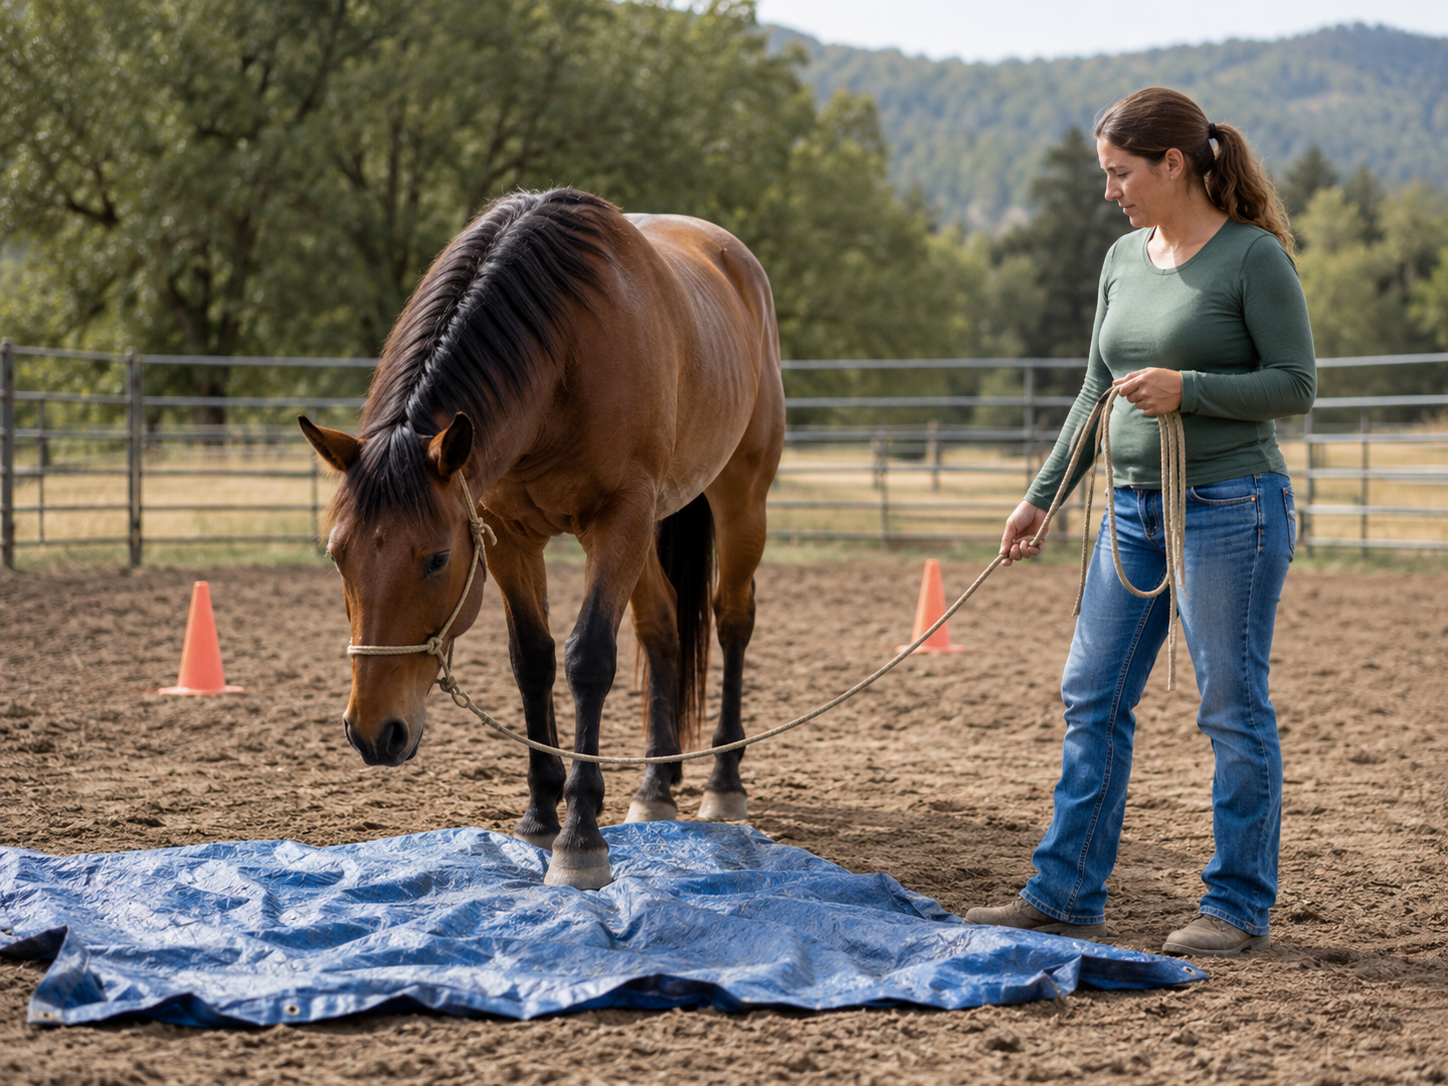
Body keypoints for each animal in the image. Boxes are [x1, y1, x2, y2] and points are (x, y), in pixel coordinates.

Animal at [299, 188, 784, 890]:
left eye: (437, 559)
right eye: (338, 556)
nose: (372, 732)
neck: (564, 357)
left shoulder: (619, 519)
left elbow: (588, 660)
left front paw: (580, 837)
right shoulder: (509, 537)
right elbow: (532, 659)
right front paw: (538, 814)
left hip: (740, 498)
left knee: (732, 621)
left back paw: (723, 780)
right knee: (662, 628)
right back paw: (656, 784)